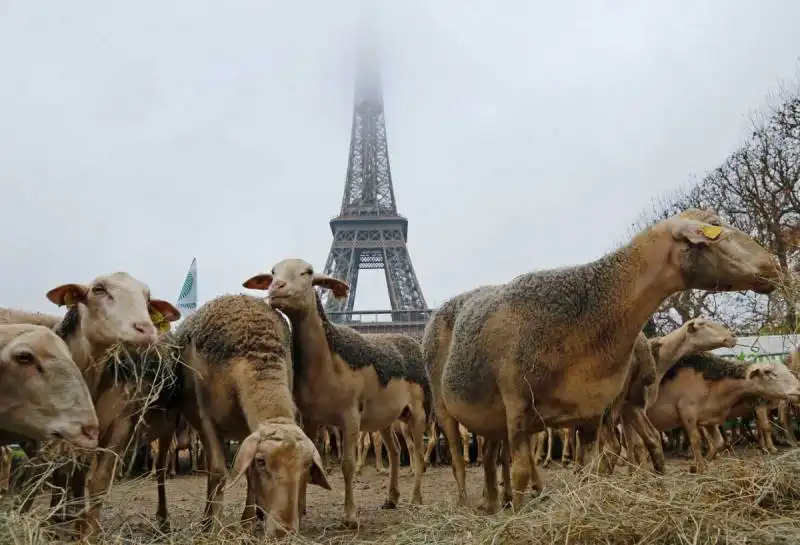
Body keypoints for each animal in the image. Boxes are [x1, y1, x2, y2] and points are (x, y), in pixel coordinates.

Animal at [160, 294, 332, 536]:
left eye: (307, 466)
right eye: (262, 461)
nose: (284, 531)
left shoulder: (248, 430)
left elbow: (249, 474)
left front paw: (248, 522)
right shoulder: (207, 421)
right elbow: (218, 472)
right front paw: (213, 526)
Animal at [242, 258, 432, 528]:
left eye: (308, 272)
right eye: (273, 272)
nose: (277, 287)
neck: (328, 360)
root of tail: (409, 341)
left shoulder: (350, 417)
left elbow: (348, 465)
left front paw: (349, 515)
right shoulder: (309, 418)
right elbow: (310, 456)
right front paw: (300, 510)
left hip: (418, 412)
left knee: (415, 453)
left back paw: (415, 499)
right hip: (385, 417)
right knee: (395, 451)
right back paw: (391, 498)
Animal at [424, 206, 780, 512]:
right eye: (716, 226)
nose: (774, 264)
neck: (587, 317)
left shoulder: (591, 413)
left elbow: (594, 465)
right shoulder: (518, 408)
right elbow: (523, 469)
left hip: (490, 415)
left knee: (487, 455)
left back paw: (493, 502)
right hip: (445, 407)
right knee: (458, 457)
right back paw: (466, 503)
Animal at [648, 352, 800, 472]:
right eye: (769, 373)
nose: (799, 389)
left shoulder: (708, 417)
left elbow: (719, 443)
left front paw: (699, 465)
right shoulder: (687, 412)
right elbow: (696, 440)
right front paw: (700, 467)